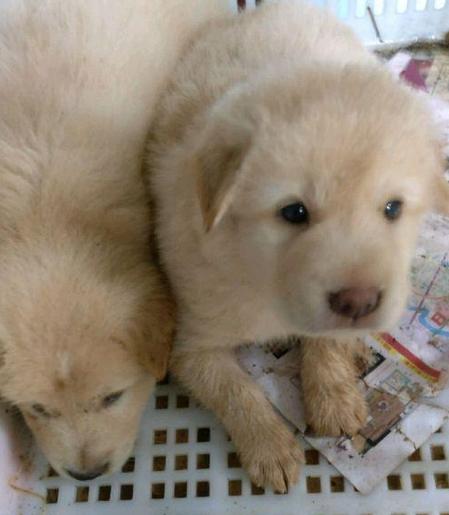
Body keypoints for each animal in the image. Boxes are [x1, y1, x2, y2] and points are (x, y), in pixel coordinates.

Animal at [149, 0, 448, 492]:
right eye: (293, 212)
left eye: (392, 208)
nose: (360, 303)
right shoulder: (190, 344)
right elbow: (236, 391)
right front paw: (271, 449)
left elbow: (324, 341)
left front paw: (335, 398)